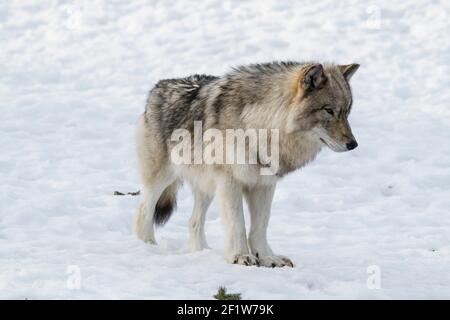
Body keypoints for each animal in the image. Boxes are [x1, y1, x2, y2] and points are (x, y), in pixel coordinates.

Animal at [134, 62, 358, 268]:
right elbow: (237, 224)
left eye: (347, 112)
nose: (353, 145)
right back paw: (147, 246)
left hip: (206, 187)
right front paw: (239, 256)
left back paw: (202, 253)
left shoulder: (264, 184)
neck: (261, 126)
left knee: (194, 222)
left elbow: (260, 226)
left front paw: (267, 257)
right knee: (144, 211)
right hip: (163, 179)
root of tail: (158, 87)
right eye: (329, 111)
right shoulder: (229, 182)